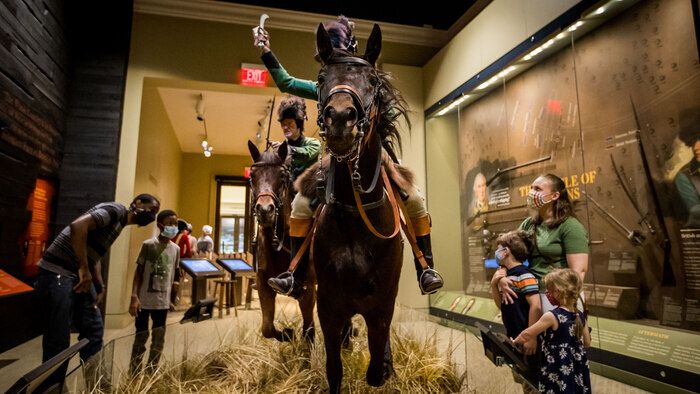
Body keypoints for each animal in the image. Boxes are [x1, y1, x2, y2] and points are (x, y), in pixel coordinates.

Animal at [245, 141, 314, 342]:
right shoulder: (263, 284)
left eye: (282, 175)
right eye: (252, 176)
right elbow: (267, 328)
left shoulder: (308, 288)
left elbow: (309, 329)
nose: (265, 210)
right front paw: (288, 334)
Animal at [294, 23, 410, 390]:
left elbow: (376, 367)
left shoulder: (382, 307)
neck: (357, 215)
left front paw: (385, 365)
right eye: (320, 78)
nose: (341, 118)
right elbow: (334, 369)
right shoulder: (329, 307)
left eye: (372, 80)